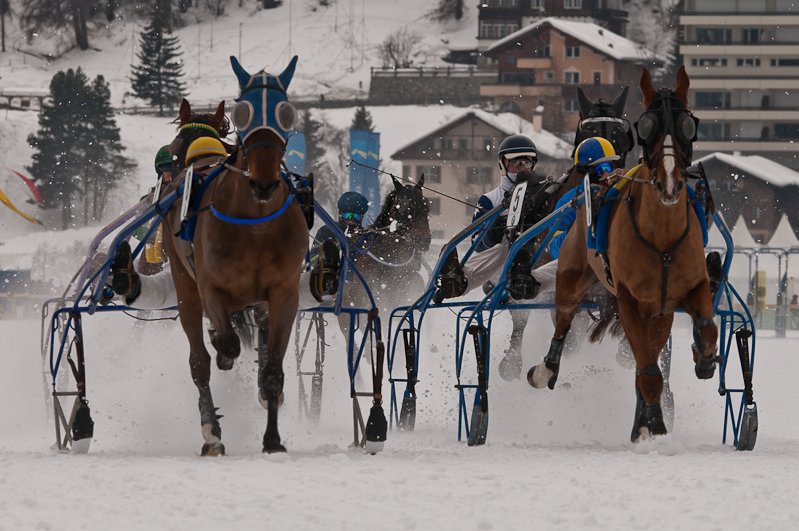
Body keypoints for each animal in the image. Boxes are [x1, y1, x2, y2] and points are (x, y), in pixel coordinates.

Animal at [528, 64, 720, 442]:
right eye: (646, 126)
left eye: (687, 125)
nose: (671, 181)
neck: (662, 240)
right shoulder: (628, 301)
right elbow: (648, 371)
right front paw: (652, 425)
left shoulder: (679, 295)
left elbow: (704, 332)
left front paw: (701, 357)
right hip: (571, 277)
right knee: (564, 318)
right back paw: (545, 369)